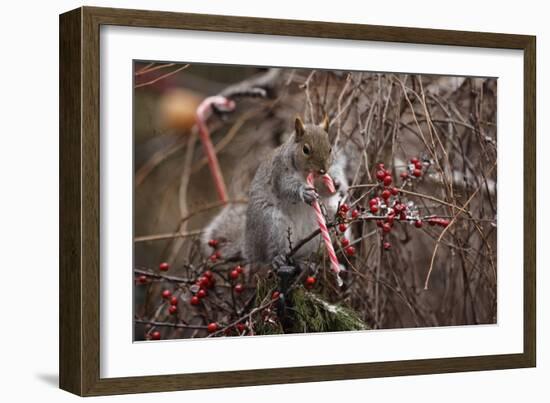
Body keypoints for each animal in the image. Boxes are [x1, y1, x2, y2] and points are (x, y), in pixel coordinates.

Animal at [203, 117, 350, 266]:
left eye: (330, 149)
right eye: (305, 149)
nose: (323, 170)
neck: (306, 175)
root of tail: (249, 248)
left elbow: (326, 190)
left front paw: (338, 183)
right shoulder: (279, 173)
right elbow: (286, 188)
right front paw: (304, 192)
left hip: (327, 217)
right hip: (271, 224)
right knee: (270, 255)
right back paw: (278, 259)